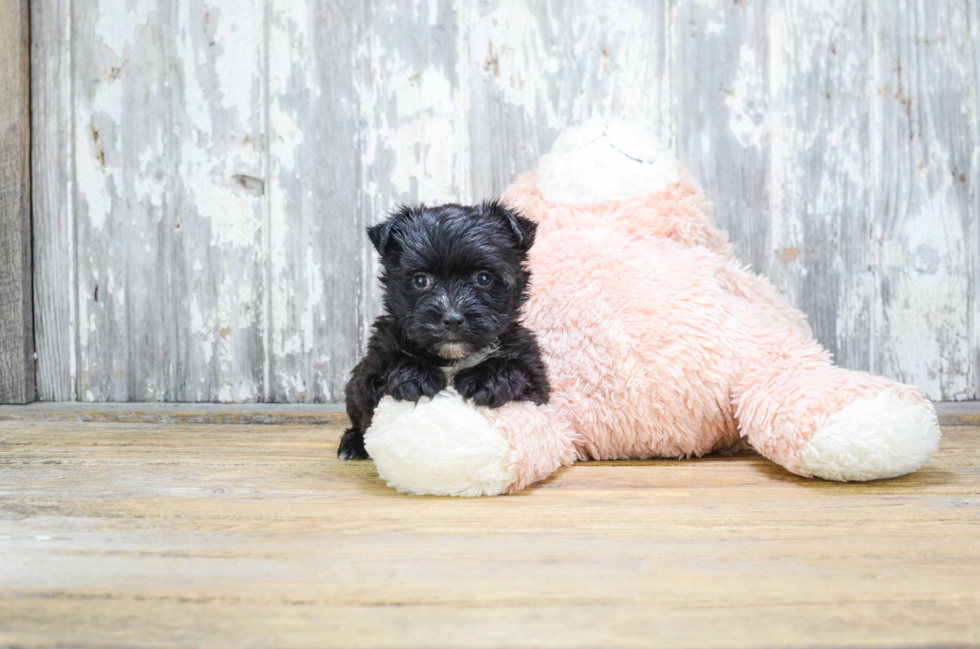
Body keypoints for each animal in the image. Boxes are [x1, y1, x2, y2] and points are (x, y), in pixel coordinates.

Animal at [338, 202, 552, 460]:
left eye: (483, 278)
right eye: (421, 281)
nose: (452, 319)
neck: (451, 357)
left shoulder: (533, 372)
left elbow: (517, 372)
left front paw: (488, 378)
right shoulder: (372, 364)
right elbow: (387, 368)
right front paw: (415, 374)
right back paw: (353, 443)